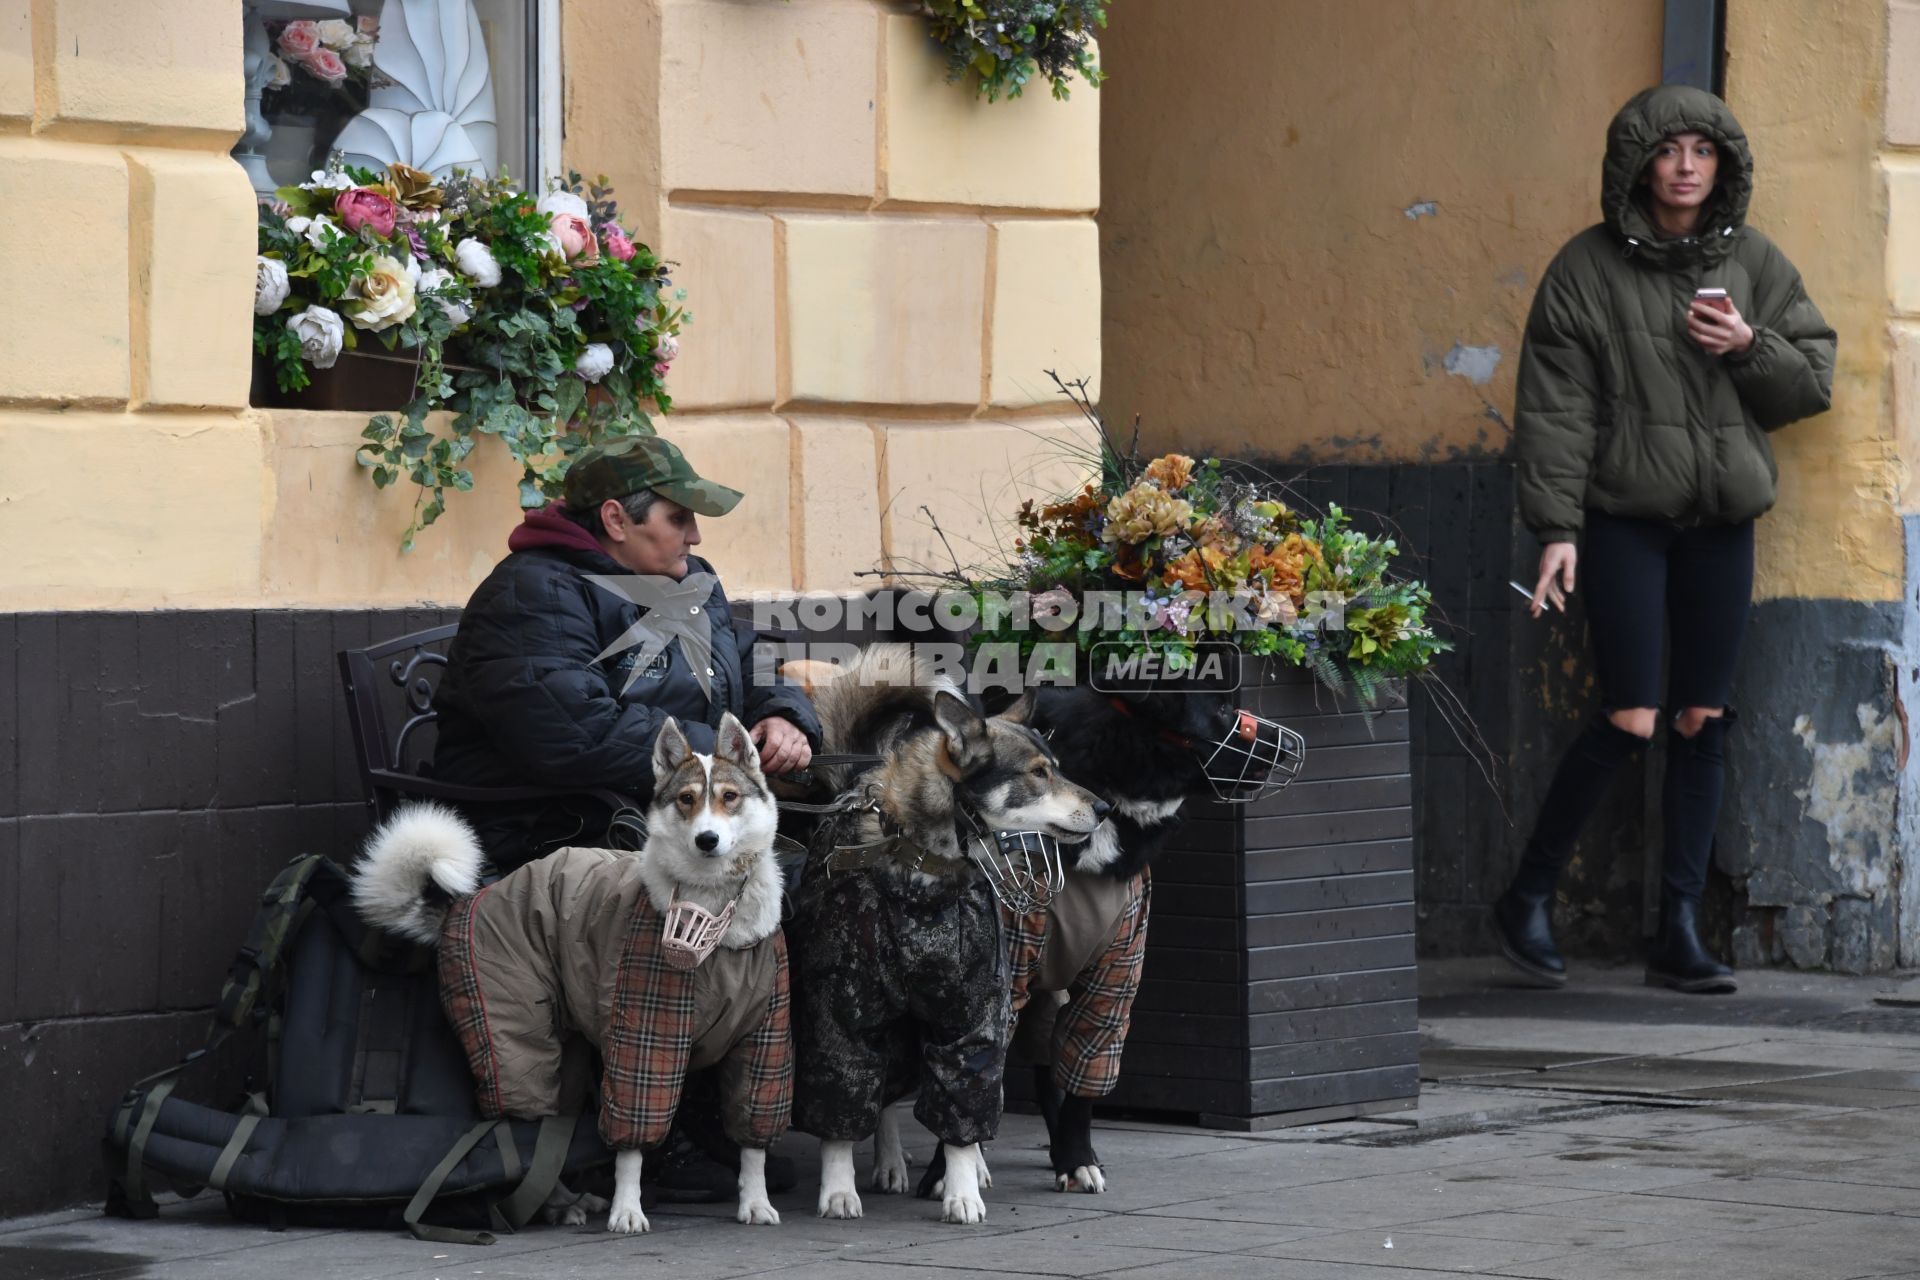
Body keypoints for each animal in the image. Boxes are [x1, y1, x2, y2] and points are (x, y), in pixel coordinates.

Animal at [353, 717, 787, 1235]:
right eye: (686, 799)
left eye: (729, 797)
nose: (707, 840)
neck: (714, 920)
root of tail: (464, 903)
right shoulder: (642, 1036)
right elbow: (630, 1143)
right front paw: (627, 1207)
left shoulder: (765, 1041)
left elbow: (754, 1136)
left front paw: (756, 1200)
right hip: (515, 1039)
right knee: (523, 1131)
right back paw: (556, 1204)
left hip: (569, 1052)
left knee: (553, 1131)